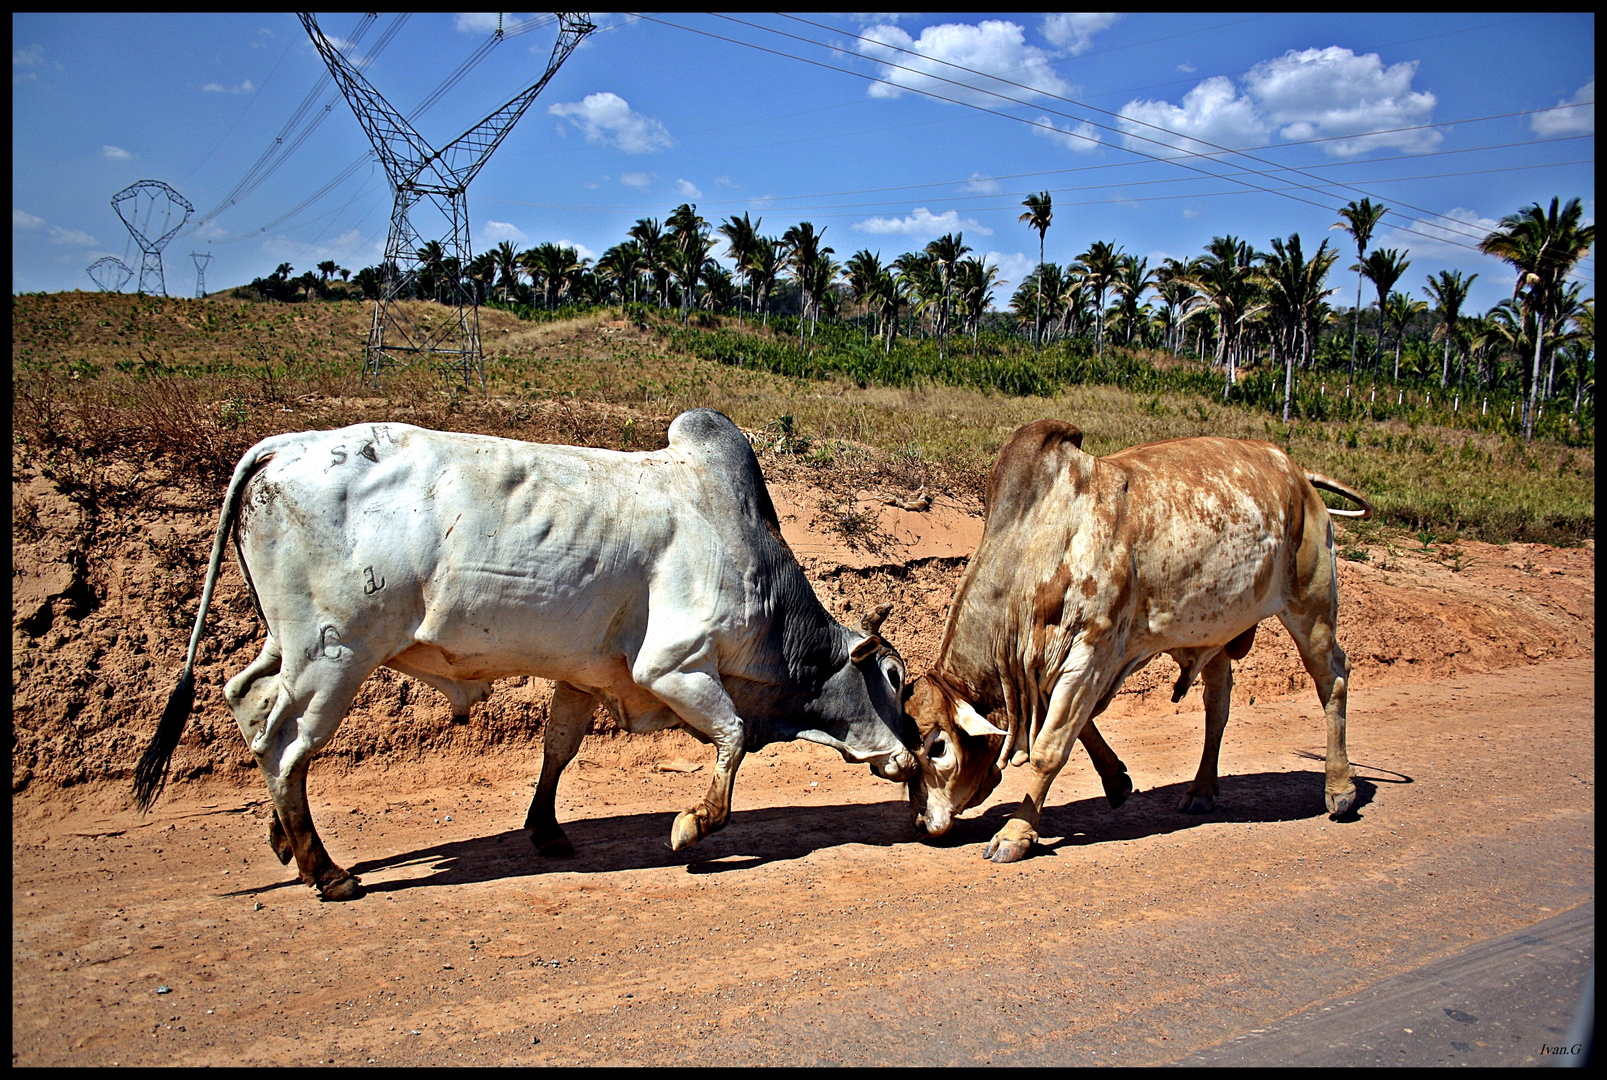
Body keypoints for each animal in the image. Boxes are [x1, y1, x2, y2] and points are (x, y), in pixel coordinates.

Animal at [906, 421, 1369, 861]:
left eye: (937, 748)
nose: (922, 822)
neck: (1034, 550)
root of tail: (1296, 470)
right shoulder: (1072, 667)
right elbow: (1081, 728)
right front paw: (1116, 781)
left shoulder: (1091, 653)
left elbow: (1049, 748)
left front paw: (1016, 834)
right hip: (1217, 631)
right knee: (1217, 706)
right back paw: (1201, 790)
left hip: (1312, 608)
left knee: (1333, 680)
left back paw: (1340, 790)